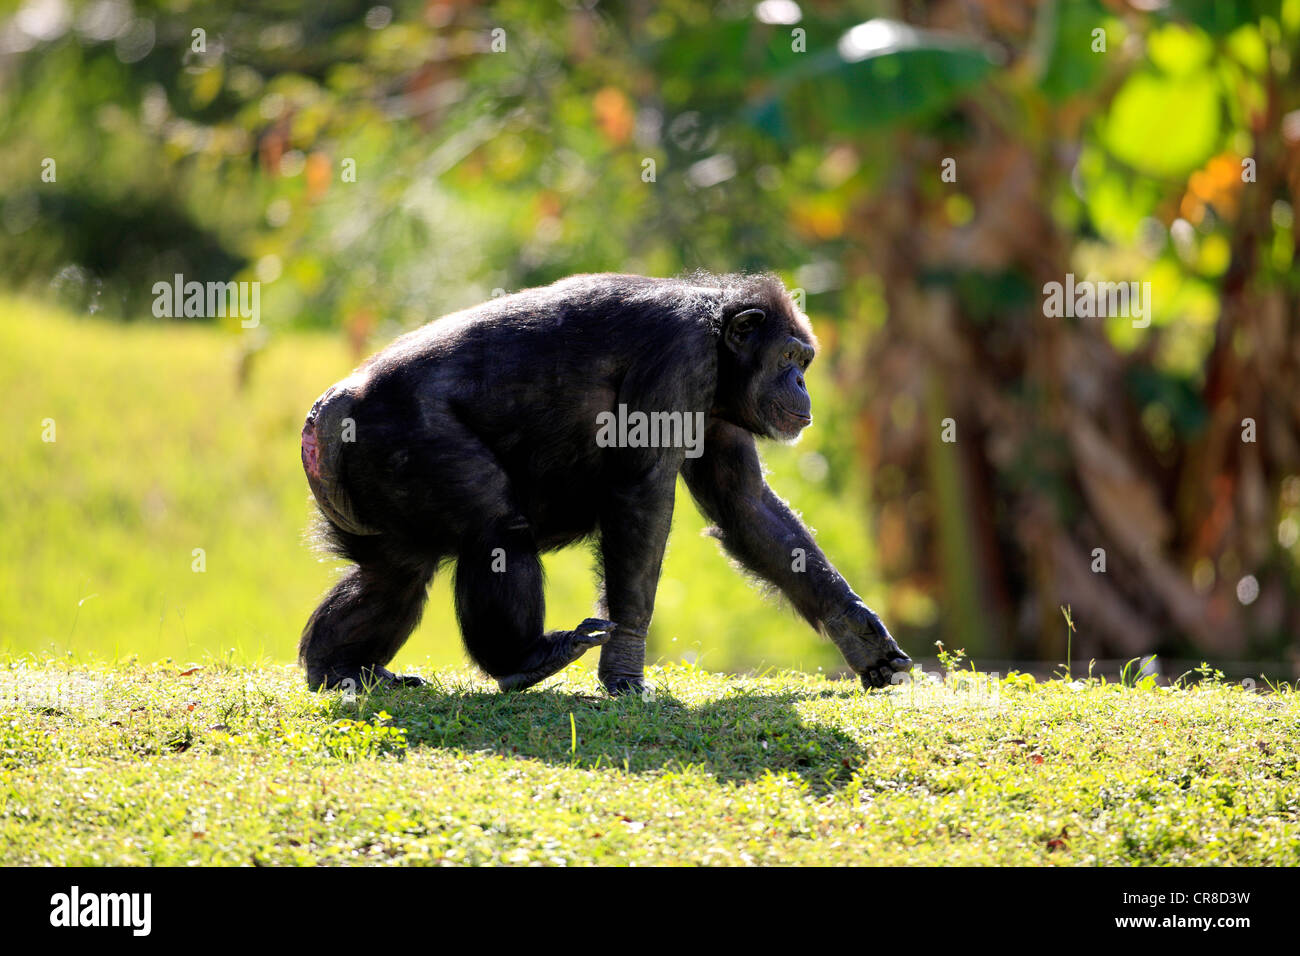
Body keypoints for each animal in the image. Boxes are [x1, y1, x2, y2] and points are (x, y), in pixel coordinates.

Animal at [297, 269, 909, 697]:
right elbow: (642, 494)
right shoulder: (678, 361)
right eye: (787, 357)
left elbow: (746, 505)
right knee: (496, 531)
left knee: (392, 574)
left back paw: (338, 667)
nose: (802, 384)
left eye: (804, 360)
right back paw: (526, 660)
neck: (716, 337)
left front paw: (860, 633)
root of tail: (325, 419)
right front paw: (625, 662)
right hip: (405, 440)